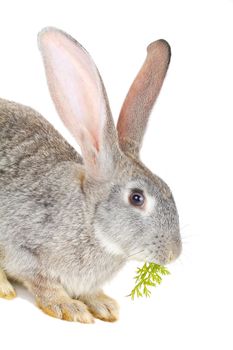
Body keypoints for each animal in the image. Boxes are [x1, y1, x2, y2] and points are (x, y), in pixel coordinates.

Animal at [0, 27, 182, 322]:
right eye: (137, 198)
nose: (173, 253)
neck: (88, 219)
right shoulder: (22, 246)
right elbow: (42, 282)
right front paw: (69, 308)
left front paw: (103, 305)